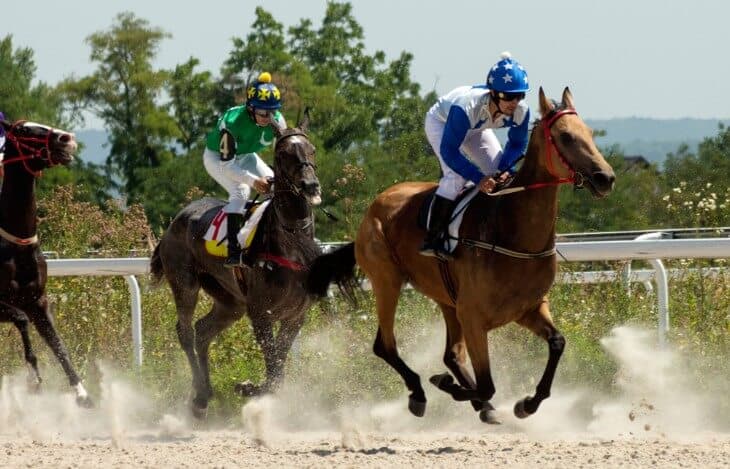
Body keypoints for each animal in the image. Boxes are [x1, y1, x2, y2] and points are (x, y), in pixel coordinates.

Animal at [0, 118, 93, 407]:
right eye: (24, 130)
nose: (67, 139)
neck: (16, 245)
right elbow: (21, 320)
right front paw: (33, 378)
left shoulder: (38, 301)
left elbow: (58, 344)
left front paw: (82, 392)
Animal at [151, 115, 325, 418]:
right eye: (283, 153)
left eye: (311, 149)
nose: (310, 186)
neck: (290, 242)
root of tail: (174, 222)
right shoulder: (260, 313)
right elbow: (274, 369)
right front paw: (247, 387)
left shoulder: (295, 316)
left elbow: (278, 368)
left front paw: (251, 388)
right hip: (185, 283)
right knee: (185, 331)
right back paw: (199, 396)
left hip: (230, 301)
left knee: (203, 330)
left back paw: (205, 393)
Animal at [306, 88, 616, 423]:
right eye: (566, 137)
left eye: (589, 133)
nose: (605, 178)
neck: (514, 233)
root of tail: (375, 206)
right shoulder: (474, 318)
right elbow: (487, 384)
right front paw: (450, 387)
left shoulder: (528, 309)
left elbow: (557, 343)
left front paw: (526, 404)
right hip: (387, 281)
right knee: (385, 346)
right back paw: (420, 393)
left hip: (446, 298)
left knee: (451, 354)